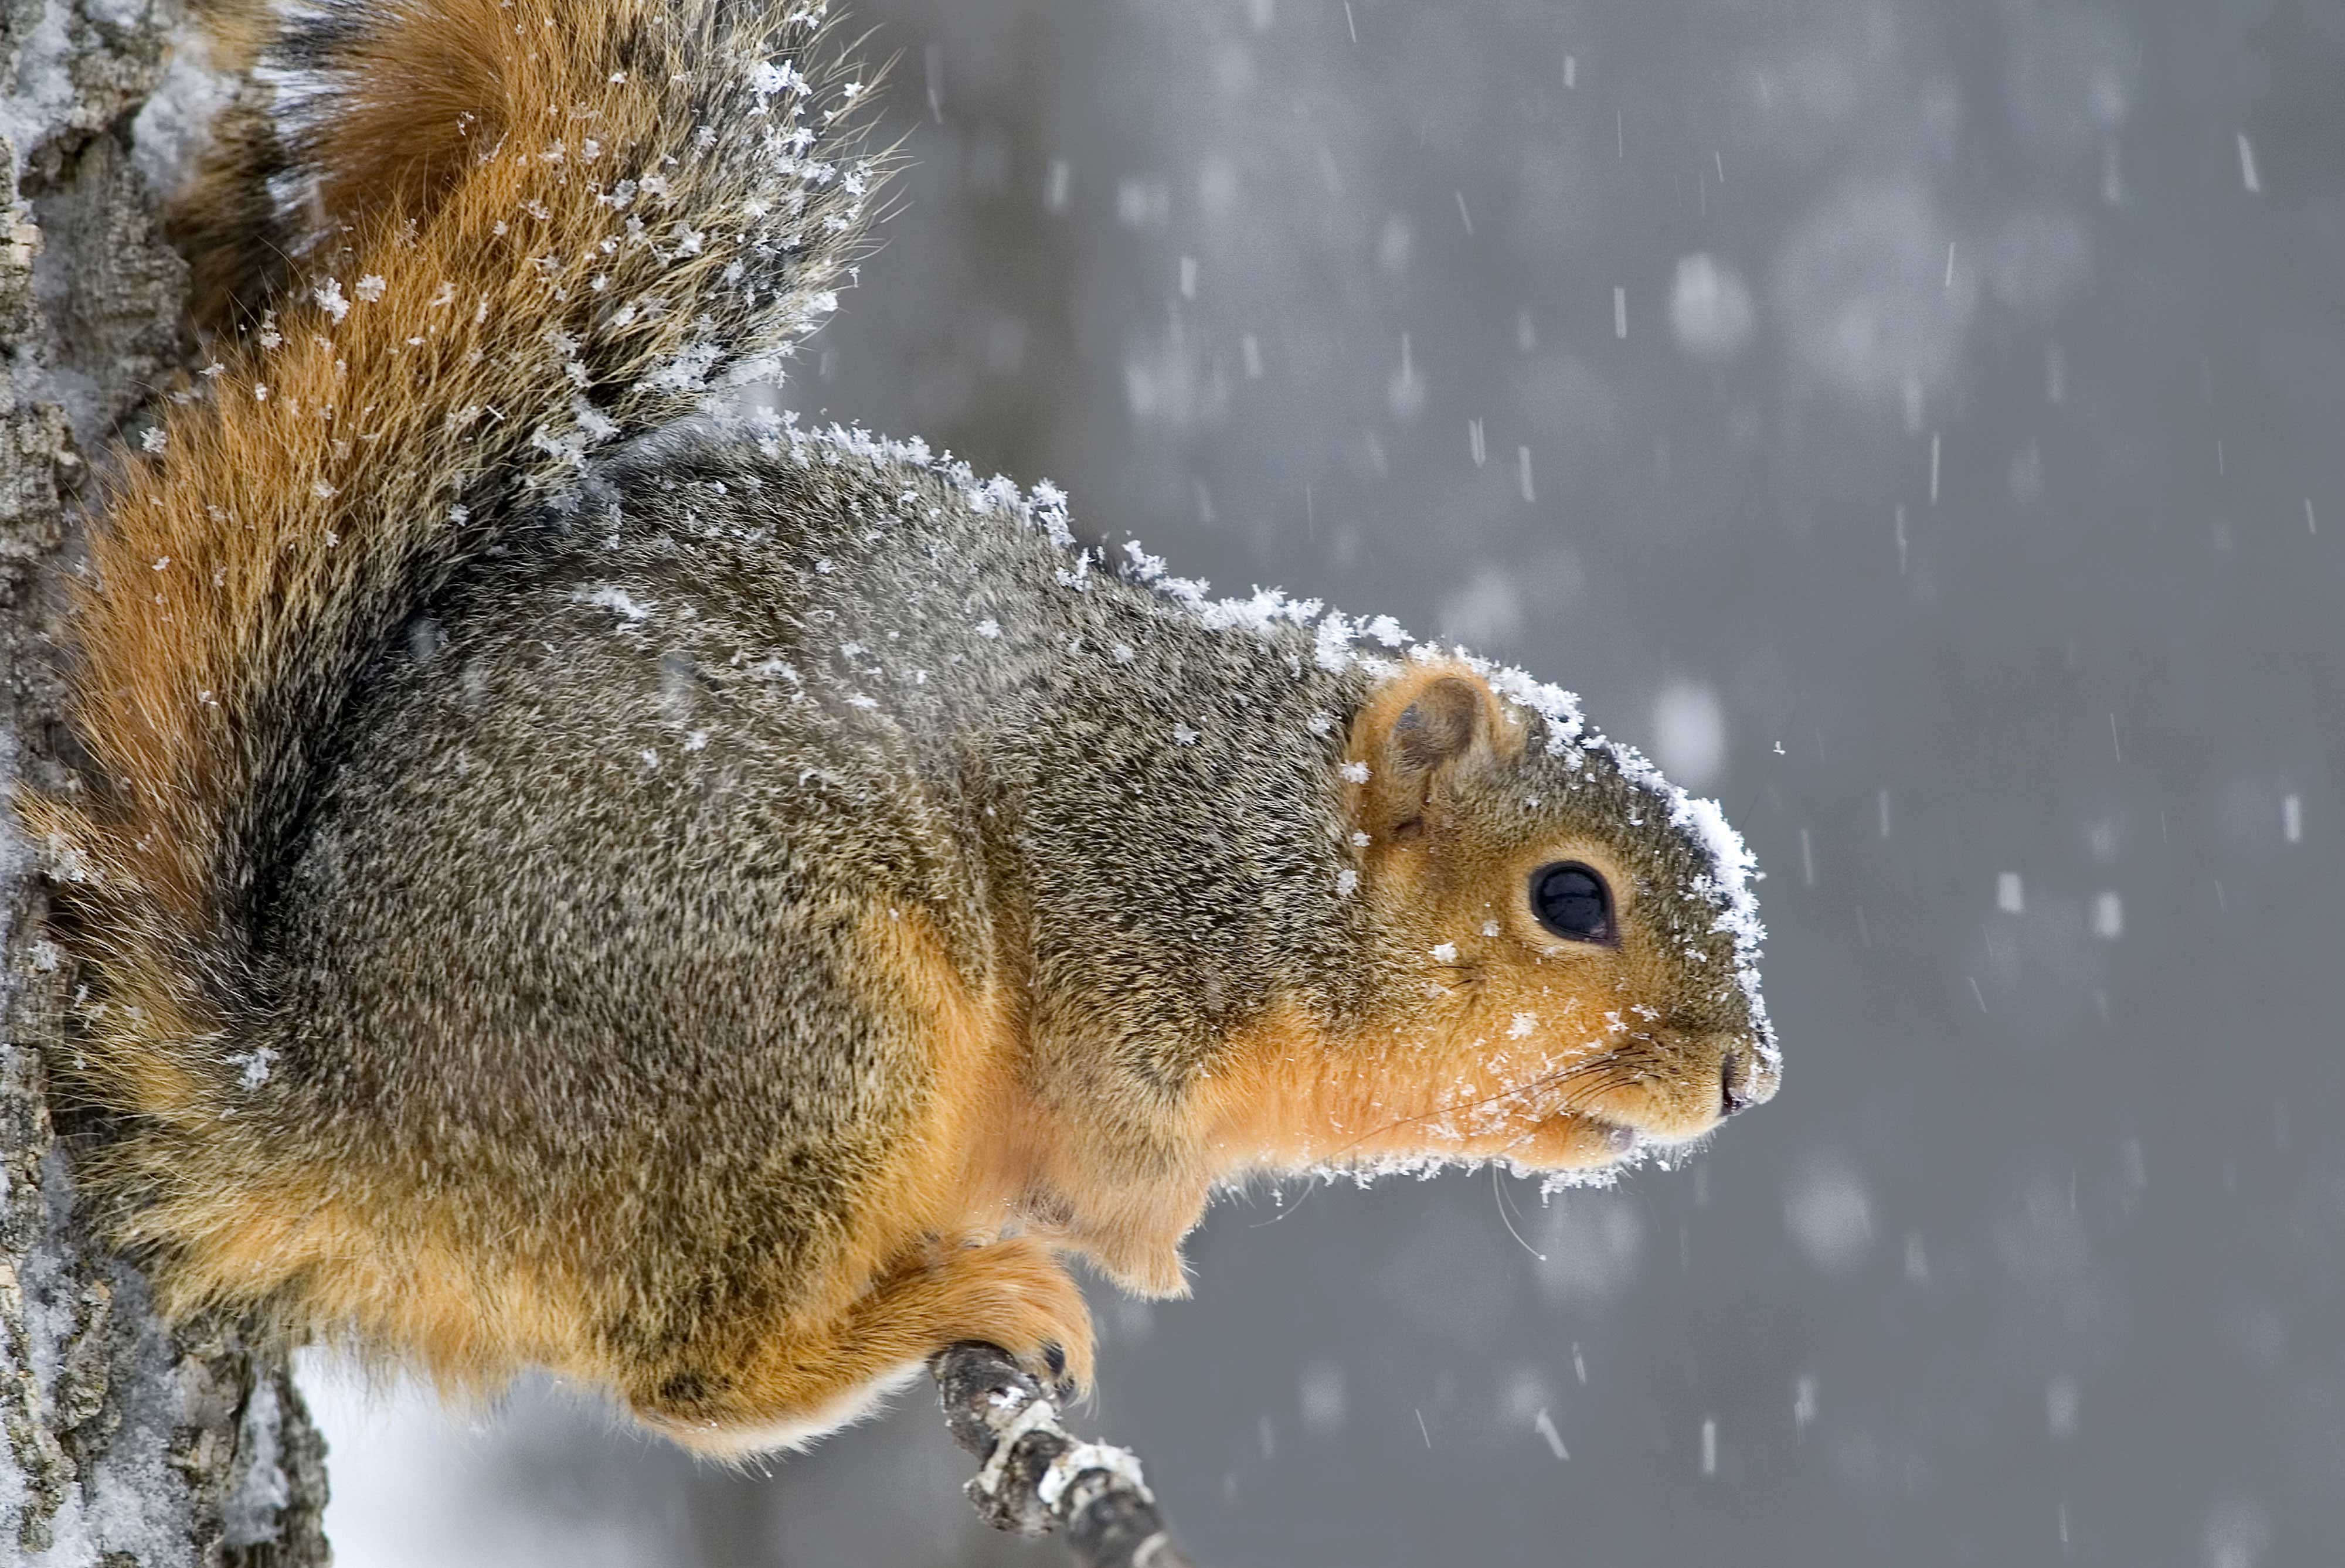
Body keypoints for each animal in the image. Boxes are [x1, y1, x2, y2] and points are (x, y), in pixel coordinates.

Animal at [22, 0, 1779, 1455]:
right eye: (1571, 899)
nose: (1748, 1078)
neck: (1269, 839)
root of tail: (332, 1099)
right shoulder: (1123, 929)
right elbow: (1115, 1140)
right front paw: (1142, 1246)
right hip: (797, 1020)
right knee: (696, 1373)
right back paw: (943, 1305)